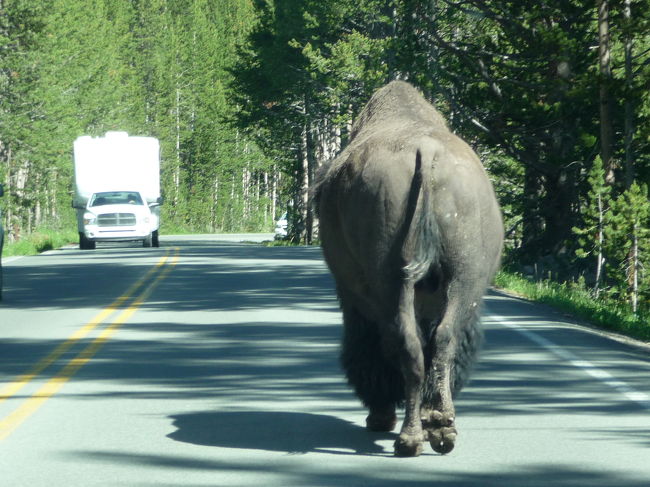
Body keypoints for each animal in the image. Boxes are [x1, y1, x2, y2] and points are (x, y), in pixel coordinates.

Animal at [312, 81, 504, 458]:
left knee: (408, 344)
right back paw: (440, 428)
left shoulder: (355, 300)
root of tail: (426, 152)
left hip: (391, 283)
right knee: (441, 340)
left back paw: (409, 438)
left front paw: (382, 415)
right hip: (462, 278)